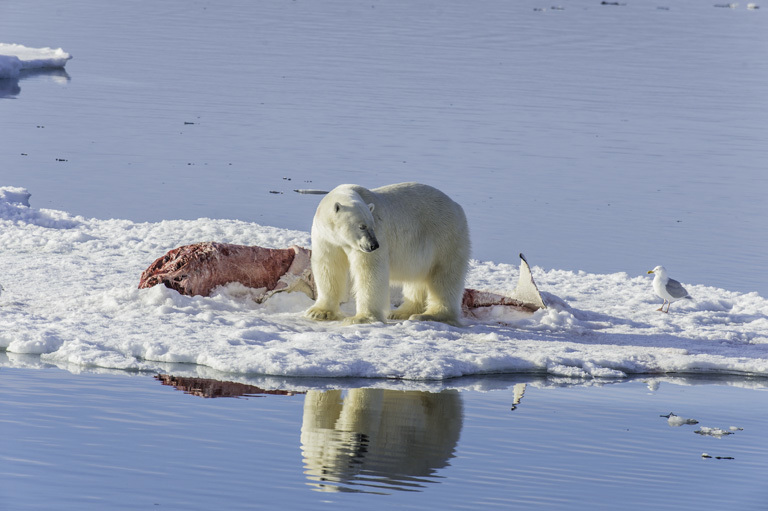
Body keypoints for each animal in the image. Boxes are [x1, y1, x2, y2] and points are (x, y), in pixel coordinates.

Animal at [306, 184, 468, 326]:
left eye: (372, 225)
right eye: (362, 226)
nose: (374, 245)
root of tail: (457, 206)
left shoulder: (377, 235)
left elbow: (370, 271)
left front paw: (360, 318)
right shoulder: (325, 238)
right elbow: (328, 267)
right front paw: (319, 312)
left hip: (445, 236)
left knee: (444, 277)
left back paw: (430, 315)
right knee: (417, 279)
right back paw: (401, 312)